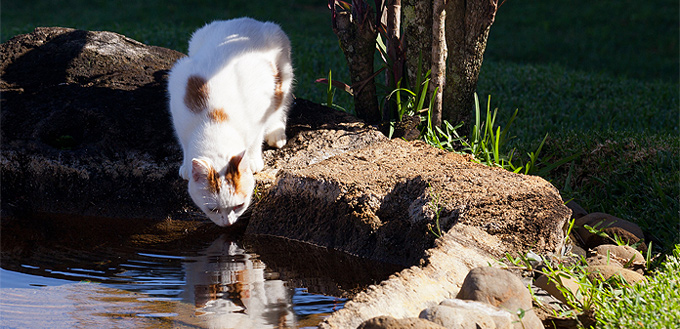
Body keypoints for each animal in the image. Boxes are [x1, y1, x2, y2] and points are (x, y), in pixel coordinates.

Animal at [169, 17, 294, 226]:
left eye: (238, 206)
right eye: (213, 209)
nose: (227, 223)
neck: (216, 119)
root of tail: (246, 20)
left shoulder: (261, 102)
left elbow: (256, 137)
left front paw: (253, 160)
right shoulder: (177, 96)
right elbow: (183, 141)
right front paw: (186, 165)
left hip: (283, 73)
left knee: (281, 105)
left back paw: (276, 133)